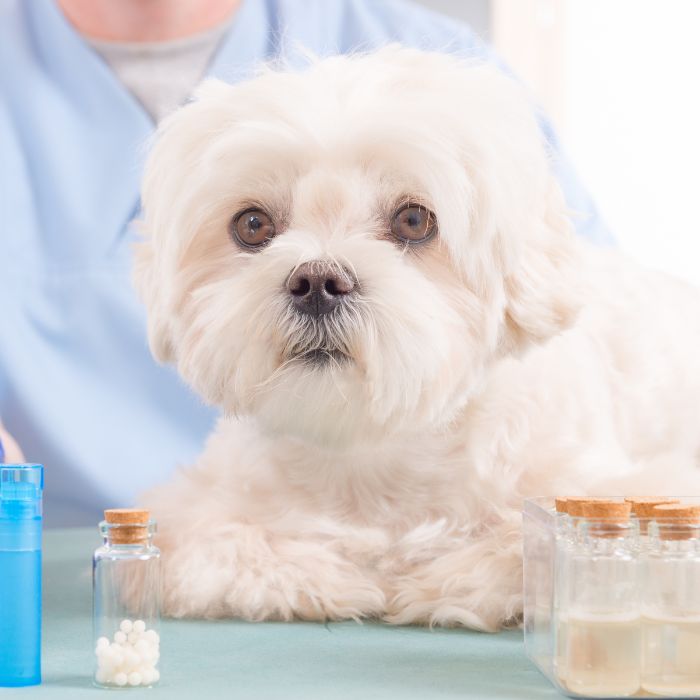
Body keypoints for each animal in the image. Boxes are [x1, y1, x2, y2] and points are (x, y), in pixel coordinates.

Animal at [134, 47, 700, 628]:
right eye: (252, 225)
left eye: (413, 220)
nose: (317, 282)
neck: (374, 451)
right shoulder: (198, 508)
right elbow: (222, 543)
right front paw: (324, 573)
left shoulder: (624, 491)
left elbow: (525, 543)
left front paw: (433, 577)